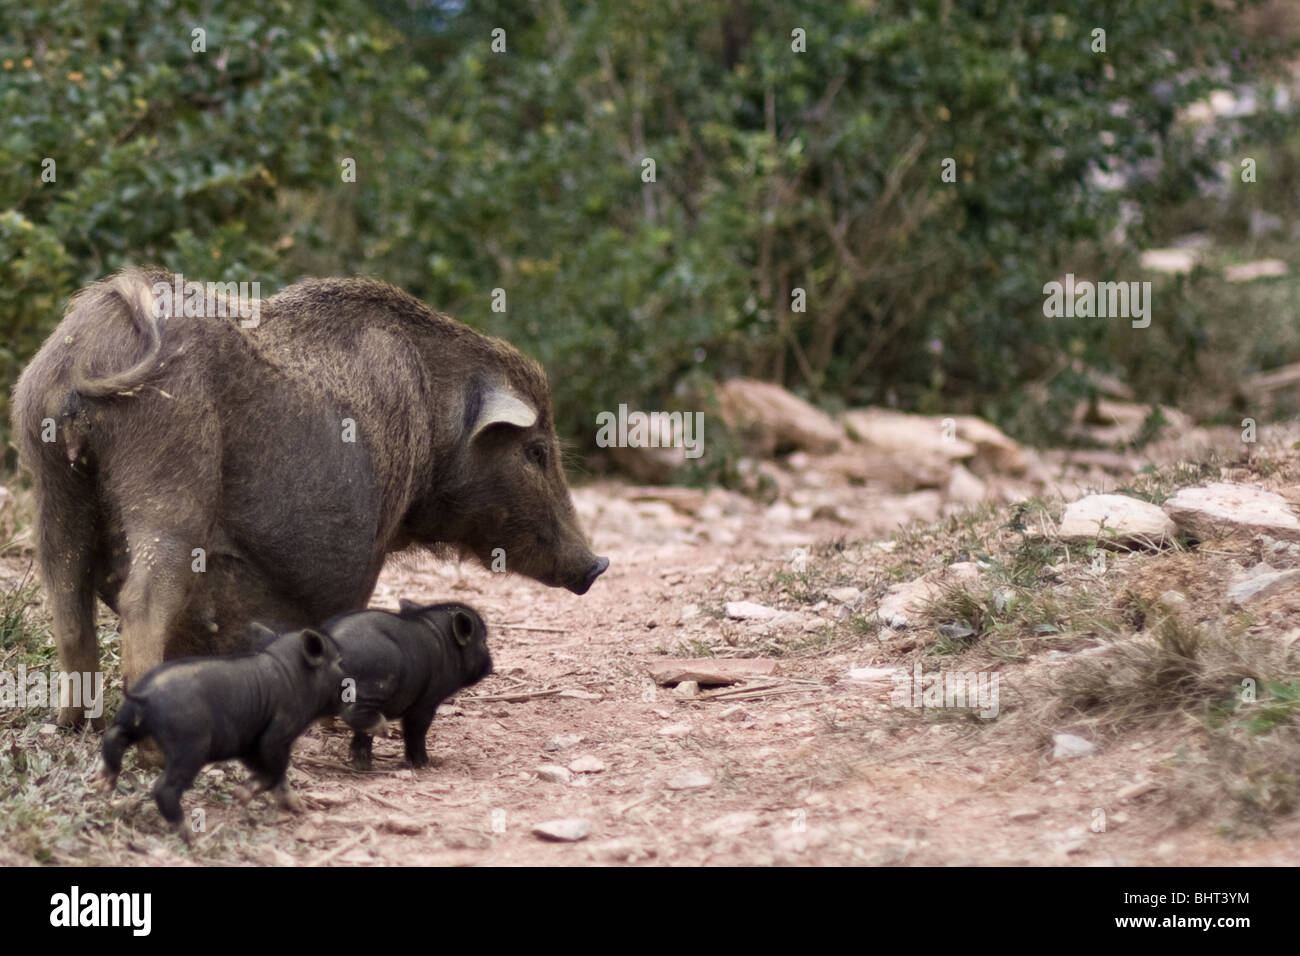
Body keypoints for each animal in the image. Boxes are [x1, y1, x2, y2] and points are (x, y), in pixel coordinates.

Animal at [11, 269, 608, 723]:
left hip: (50, 474)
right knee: (142, 599)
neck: (434, 423)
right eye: (536, 451)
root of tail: (96, 337)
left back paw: (74, 724)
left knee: (66, 592)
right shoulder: (367, 547)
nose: (597, 565)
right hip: (169, 480)